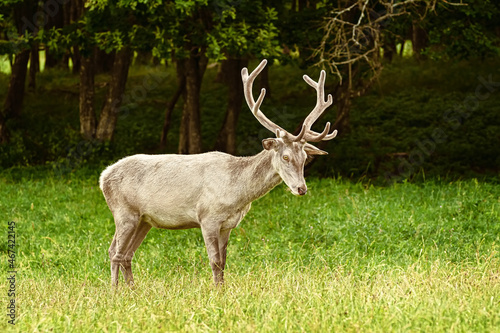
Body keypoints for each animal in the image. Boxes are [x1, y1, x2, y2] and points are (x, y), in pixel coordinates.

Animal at [99, 58, 338, 284]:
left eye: (305, 158)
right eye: (285, 157)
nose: (301, 189)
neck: (238, 193)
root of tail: (103, 177)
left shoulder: (228, 225)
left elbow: (223, 262)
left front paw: (222, 290)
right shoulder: (208, 217)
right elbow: (214, 261)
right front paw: (215, 291)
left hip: (144, 220)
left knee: (126, 253)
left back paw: (132, 289)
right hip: (124, 212)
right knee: (115, 252)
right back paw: (115, 291)